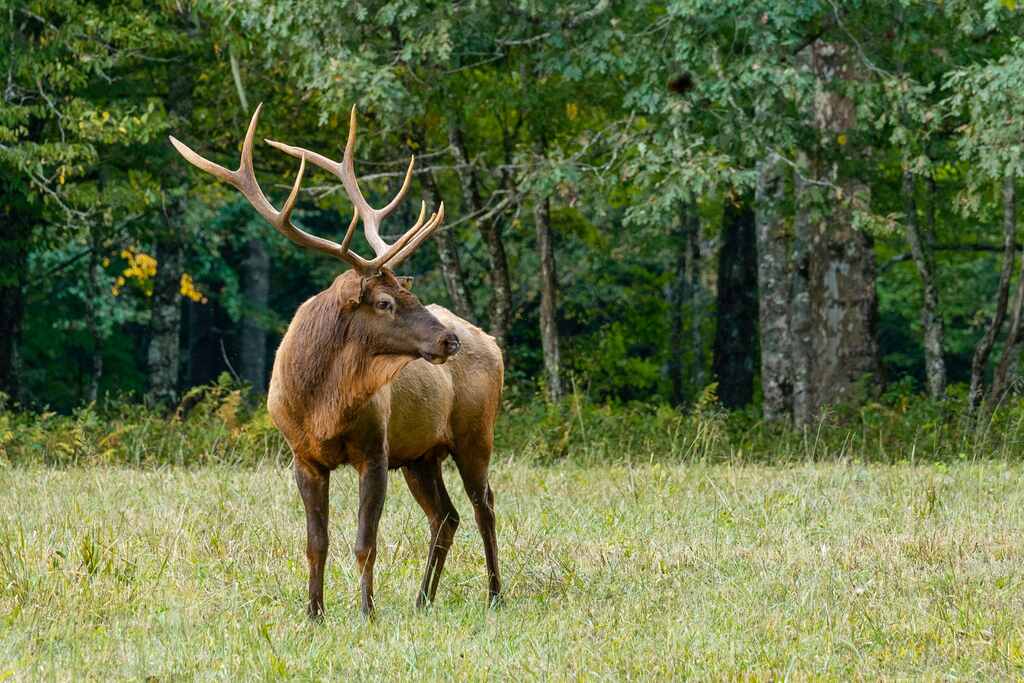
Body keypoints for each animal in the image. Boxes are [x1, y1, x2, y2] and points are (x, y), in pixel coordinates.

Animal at [171, 105, 503, 618]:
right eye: (385, 302)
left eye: (409, 292)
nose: (448, 341)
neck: (322, 405)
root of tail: (492, 342)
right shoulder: (303, 456)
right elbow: (316, 543)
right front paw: (314, 613)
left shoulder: (376, 451)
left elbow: (366, 542)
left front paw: (366, 612)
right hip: (421, 454)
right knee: (446, 516)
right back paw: (422, 599)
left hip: (474, 433)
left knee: (484, 505)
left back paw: (494, 594)